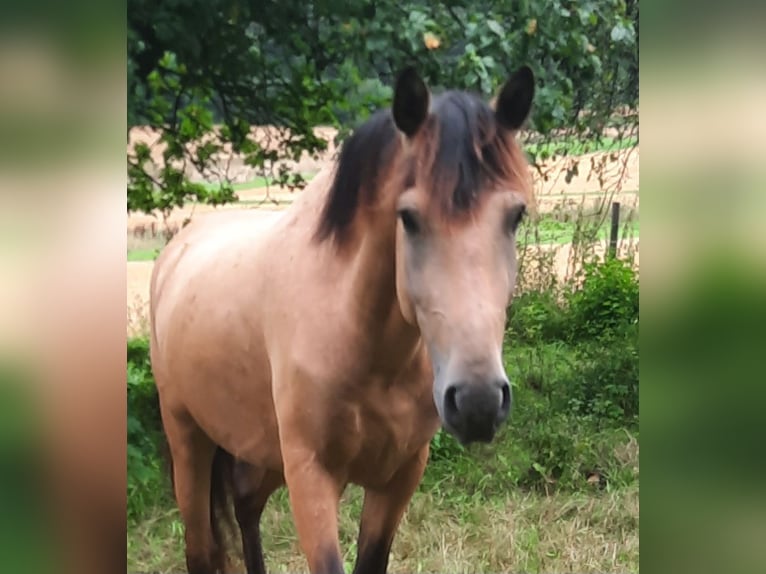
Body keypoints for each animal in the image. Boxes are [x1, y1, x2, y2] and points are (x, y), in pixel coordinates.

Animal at [148, 65, 536, 572]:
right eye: (409, 218)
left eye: (516, 216)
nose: (478, 401)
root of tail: (175, 250)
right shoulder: (311, 475)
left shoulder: (400, 476)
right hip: (189, 442)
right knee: (200, 545)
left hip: (260, 450)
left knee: (247, 505)